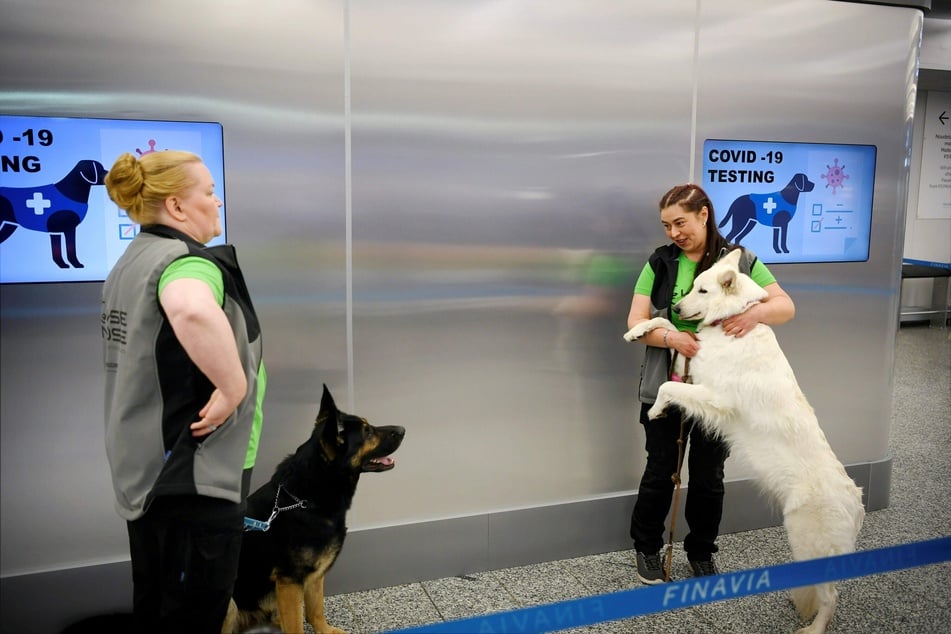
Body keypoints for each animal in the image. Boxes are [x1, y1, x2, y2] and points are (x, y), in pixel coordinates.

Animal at [225, 382, 408, 628]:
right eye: (367, 431)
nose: (403, 428)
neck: (304, 501)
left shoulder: (315, 575)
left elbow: (315, 611)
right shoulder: (290, 582)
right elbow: (296, 626)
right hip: (230, 604)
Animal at [624, 248, 864, 632]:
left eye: (703, 291)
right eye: (692, 286)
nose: (677, 307)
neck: (730, 319)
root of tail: (857, 503)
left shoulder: (714, 396)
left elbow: (666, 387)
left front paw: (658, 410)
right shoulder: (693, 355)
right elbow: (670, 331)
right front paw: (638, 329)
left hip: (804, 540)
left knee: (831, 596)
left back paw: (814, 628)